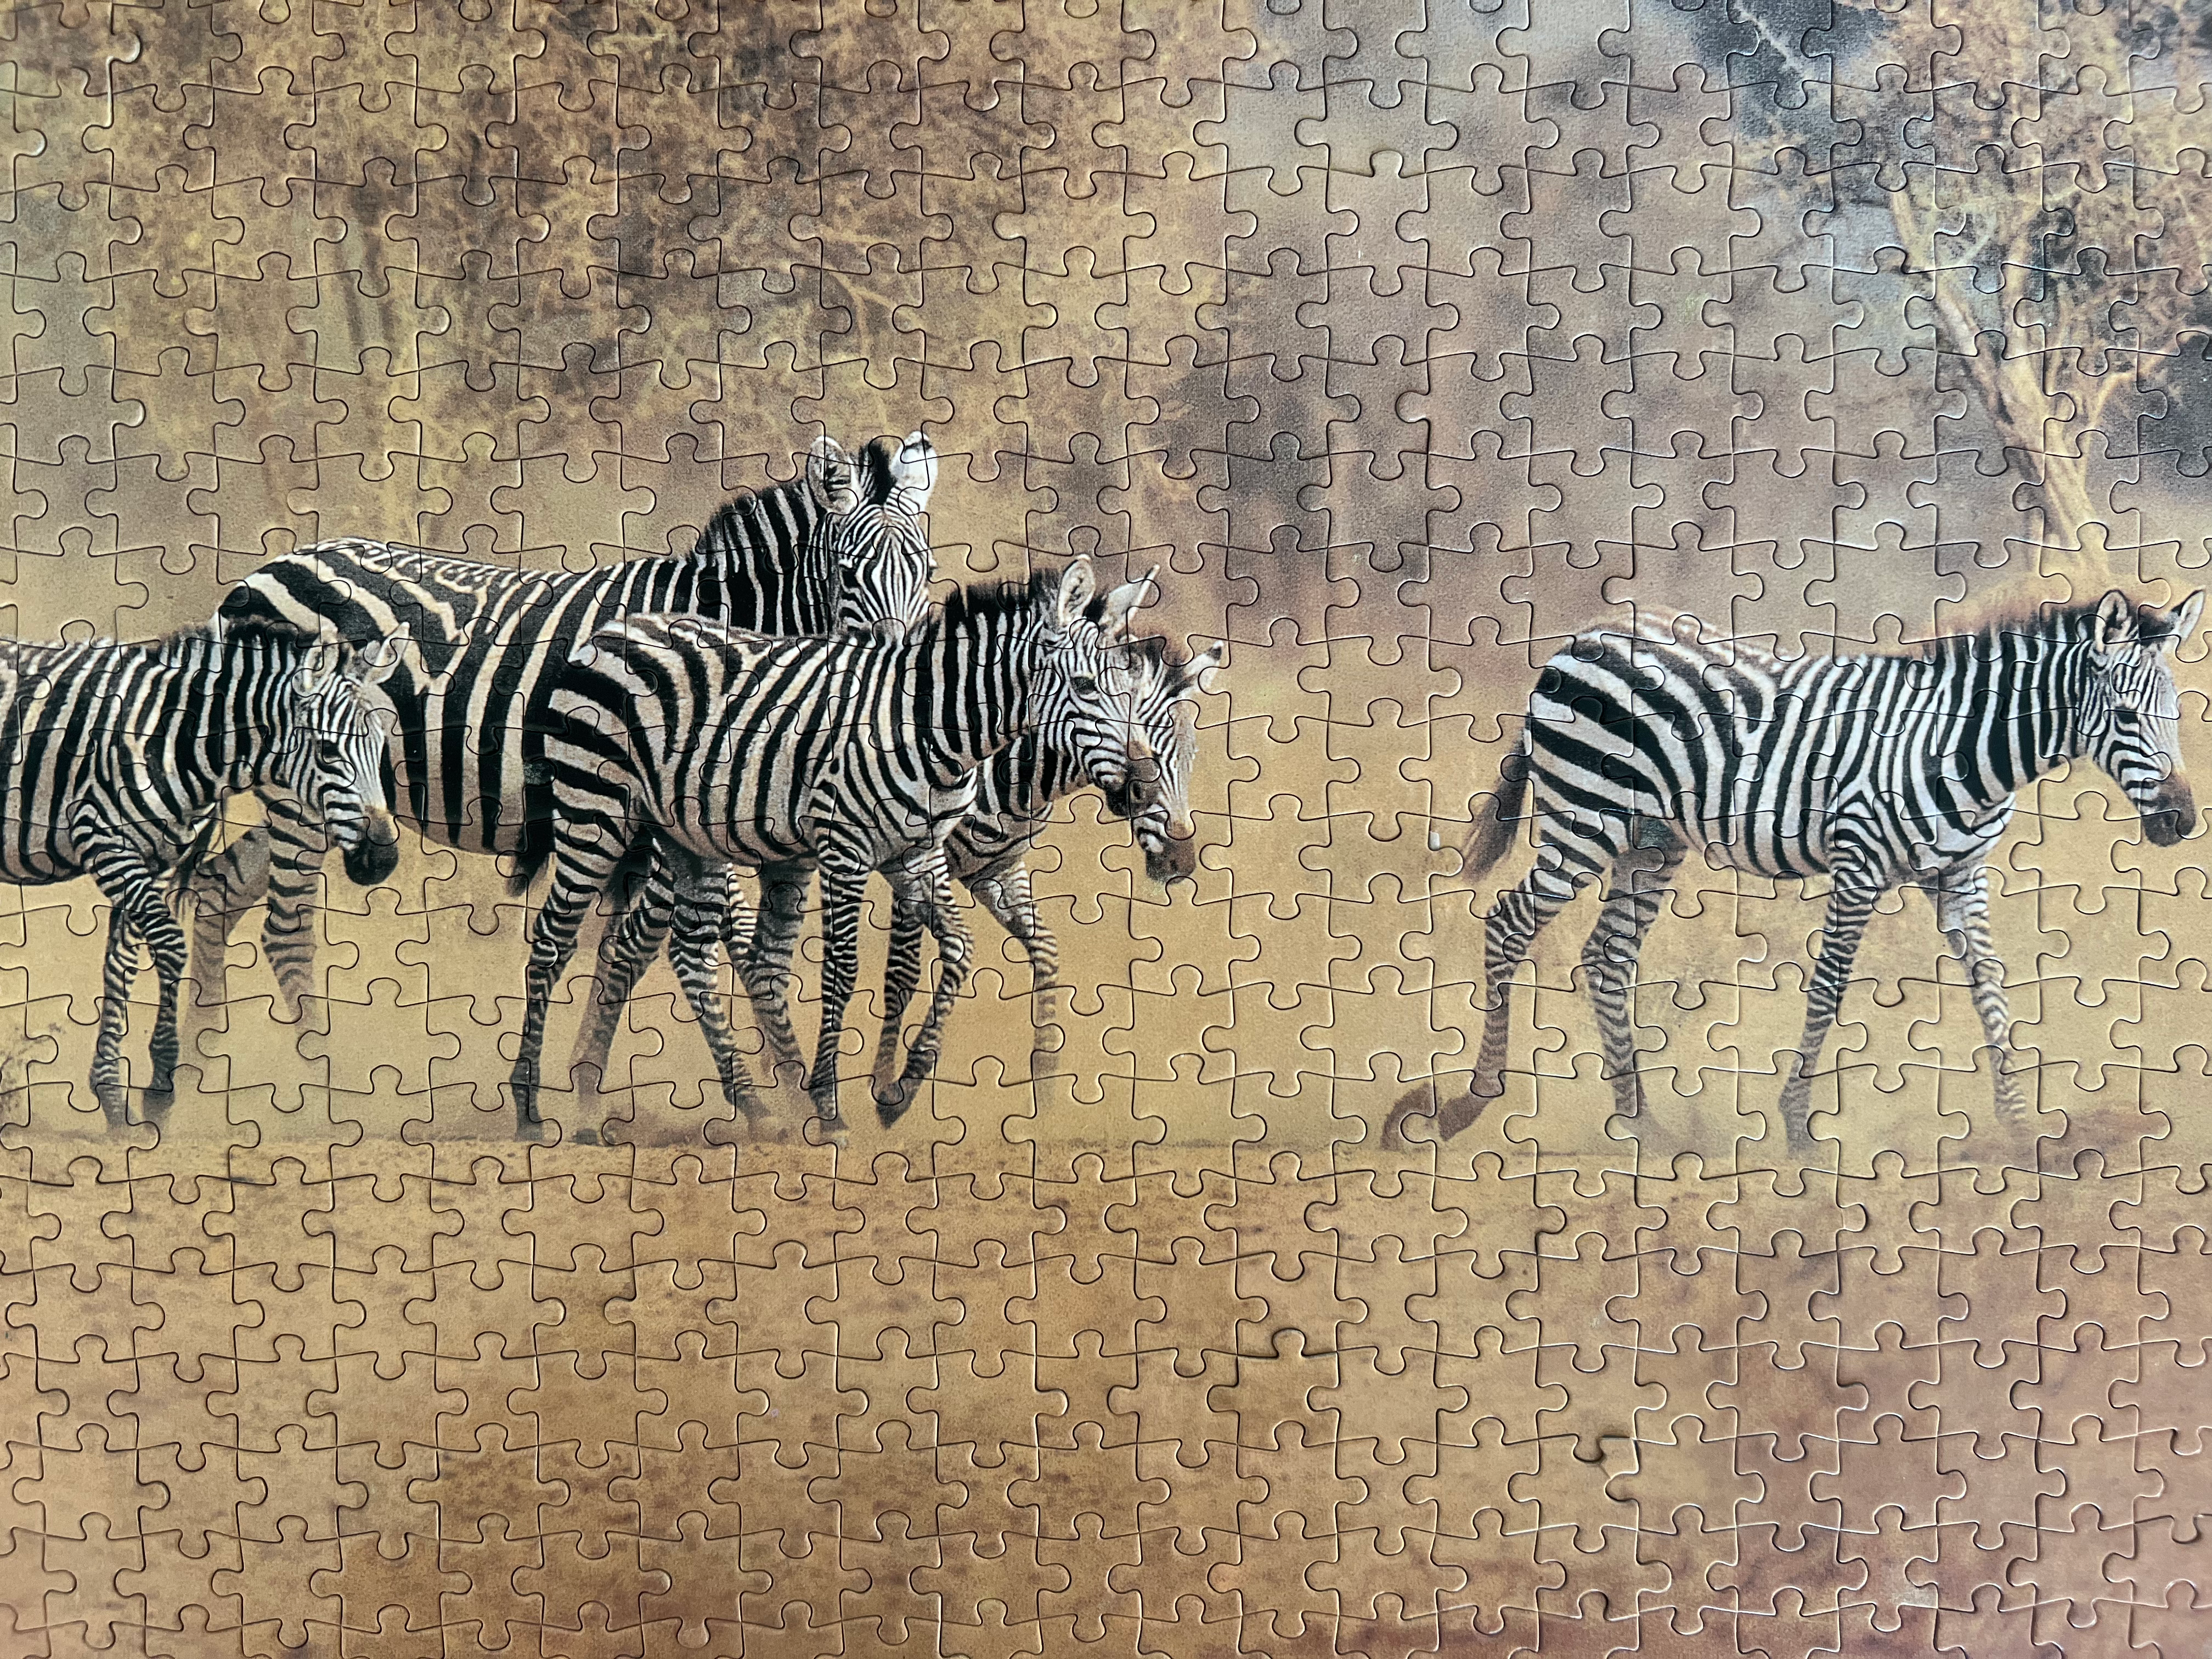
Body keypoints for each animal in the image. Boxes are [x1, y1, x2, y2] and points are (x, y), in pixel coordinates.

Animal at [0, 621, 407, 1123]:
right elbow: (171, 947)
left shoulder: (151, 859)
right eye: (329, 751)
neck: (175, 739)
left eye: (383, 743)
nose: (383, 859)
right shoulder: (105, 842)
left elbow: (121, 965)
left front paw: (112, 1098)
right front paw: (159, 1085)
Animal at [182, 432, 941, 1017]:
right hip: (307, 788)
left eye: (928, 570)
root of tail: (259, 573)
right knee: (284, 929)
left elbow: (642, 949)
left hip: (315, 790)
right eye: (848, 573)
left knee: (219, 890)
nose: (898, 674)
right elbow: (696, 947)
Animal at [507, 558, 1152, 1142]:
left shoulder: (917, 854)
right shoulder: (846, 848)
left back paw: (747, 1106)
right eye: (1087, 687)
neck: (929, 726)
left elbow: (958, 951)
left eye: (1132, 693)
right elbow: (844, 971)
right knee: (552, 942)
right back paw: (529, 1106)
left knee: (683, 954)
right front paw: (830, 1105)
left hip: (688, 838)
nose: (1144, 784)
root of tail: (616, 630)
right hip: (594, 811)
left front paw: (900, 1090)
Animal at [1384, 590, 2205, 1156]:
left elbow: (1992, 991)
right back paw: (1471, 1103)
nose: (2181, 823)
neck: (1964, 748)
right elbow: (1829, 989)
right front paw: (1799, 1125)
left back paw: (1643, 1124)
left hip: (1650, 840)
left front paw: (2018, 1126)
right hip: (1586, 818)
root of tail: (1582, 639)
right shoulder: (1859, 862)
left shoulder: (1961, 879)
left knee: (1607, 957)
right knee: (1510, 923)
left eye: (2177, 717)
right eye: (2126, 716)